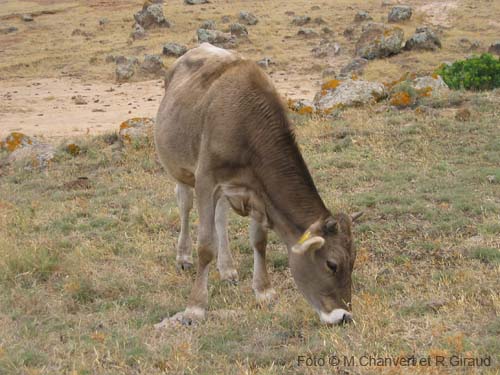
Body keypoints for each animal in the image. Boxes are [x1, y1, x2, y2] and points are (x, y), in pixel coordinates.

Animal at [154, 42, 362, 328]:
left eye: (353, 261)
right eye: (332, 264)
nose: (344, 316)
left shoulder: (257, 193)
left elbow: (259, 242)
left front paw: (264, 291)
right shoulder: (206, 179)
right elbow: (205, 246)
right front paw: (195, 308)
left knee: (220, 217)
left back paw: (228, 268)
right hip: (180, 168)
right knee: (184, 206)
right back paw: (183, 258)